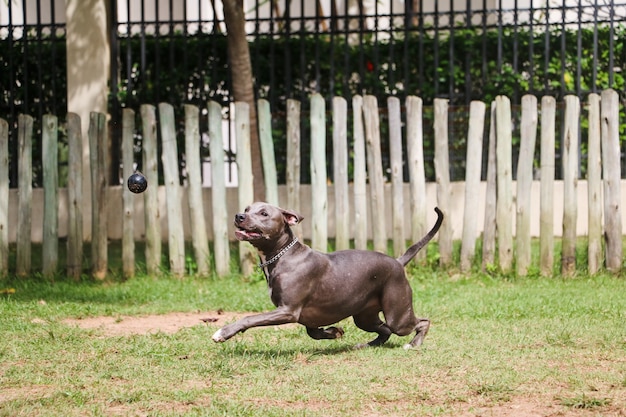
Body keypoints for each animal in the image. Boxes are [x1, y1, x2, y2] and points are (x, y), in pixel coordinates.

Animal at [212, 202, 442, 348]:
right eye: (246, 208)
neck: (282, 255)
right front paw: (334, 332)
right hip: (364, 317)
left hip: (398, 315)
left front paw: (223, 332)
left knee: (422, 322)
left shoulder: (288, 310)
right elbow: (313, 332)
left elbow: (250, 318)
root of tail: (397, 261)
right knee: (384, 330)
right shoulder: (302, 314)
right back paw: (367, 345)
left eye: (264, 214)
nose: (239, 216)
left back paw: (413, 344)